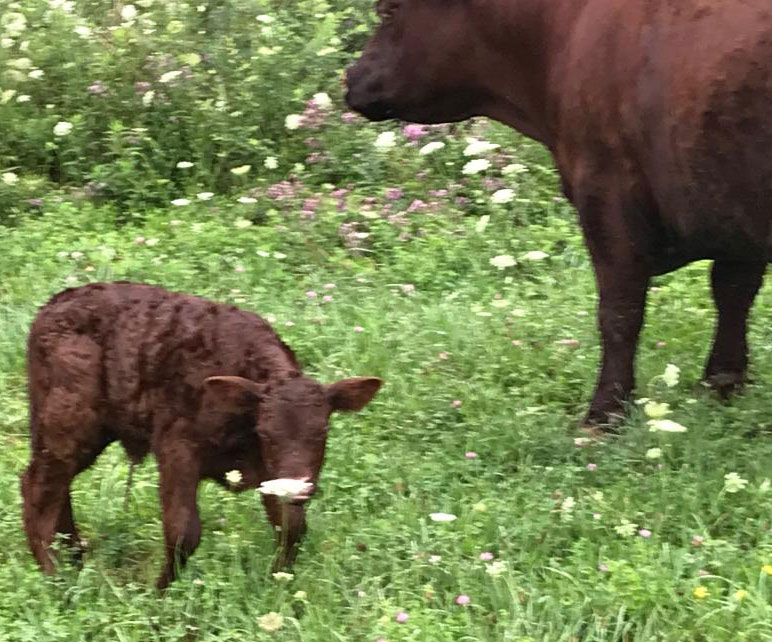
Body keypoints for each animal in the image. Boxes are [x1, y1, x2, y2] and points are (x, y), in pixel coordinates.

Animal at [21, 282, 382, 588]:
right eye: (266, 432)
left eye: (323, 430)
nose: (297, 487)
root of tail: (54, 304)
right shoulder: (177, 447)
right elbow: (184, 531)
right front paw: (159, 593)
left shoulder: (270, 472)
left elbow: (291, 527)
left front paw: (279, 582)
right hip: (69, 419)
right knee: (38, 483)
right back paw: (54, 575)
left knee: (56, 483)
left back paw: (74, 558)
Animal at [345, 0, 772, 431]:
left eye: (388, 11)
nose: (351, 78)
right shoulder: (725, 208)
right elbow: (733, 294)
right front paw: (723, 385)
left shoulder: (607, 192)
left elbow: (620, 312)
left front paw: (604, 415)